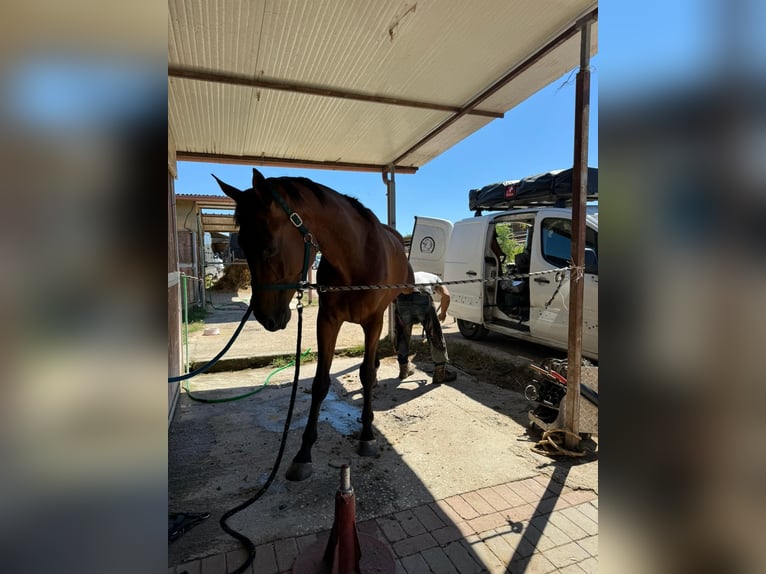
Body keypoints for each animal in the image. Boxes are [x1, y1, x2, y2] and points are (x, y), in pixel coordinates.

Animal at [214, 170, 414, 482]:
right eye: (243, 245)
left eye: (269, 248)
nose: (267, 318)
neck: (356, 258)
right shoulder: (328, 321)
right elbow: (321, 382)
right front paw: (303, 452)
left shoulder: (373, 321)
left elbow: (365, 373)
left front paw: (367, 436)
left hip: (400, 298)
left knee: (401, 327)